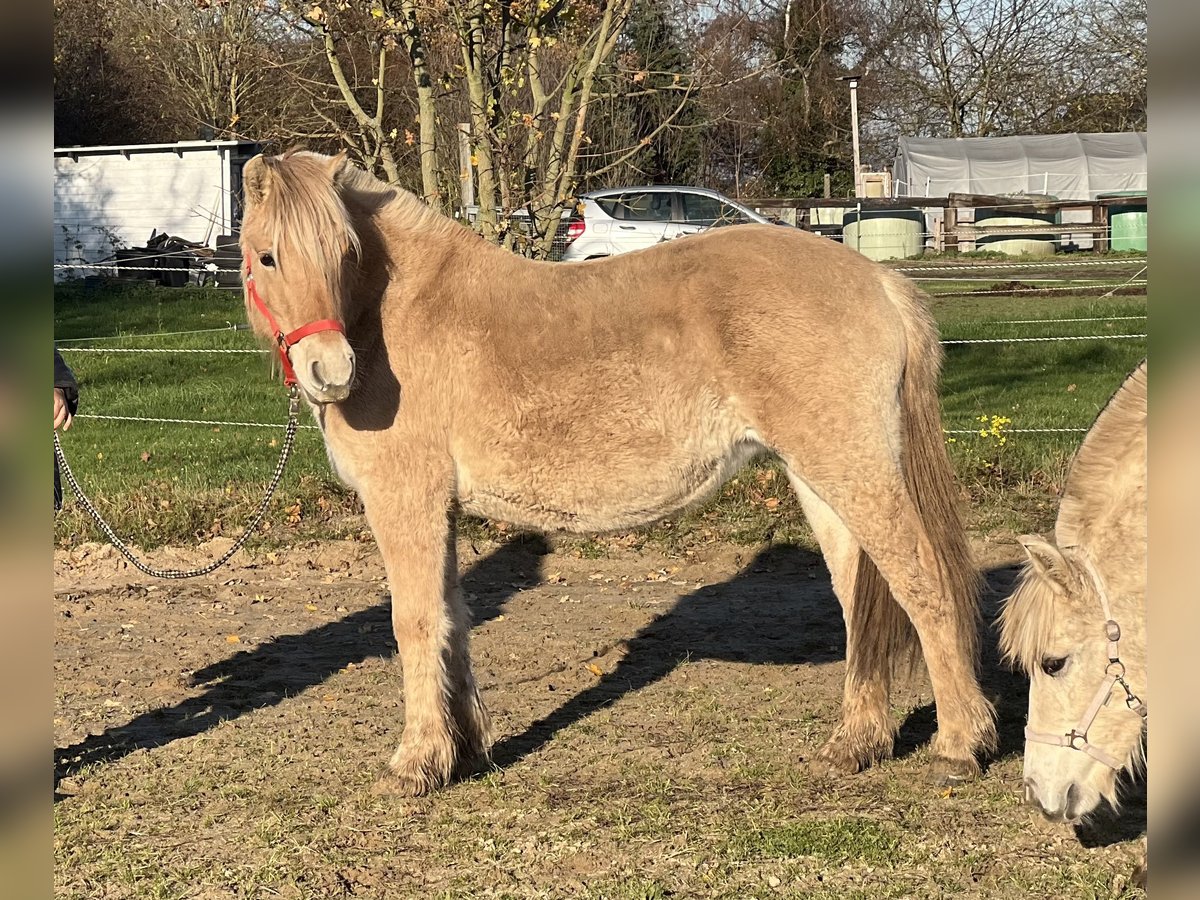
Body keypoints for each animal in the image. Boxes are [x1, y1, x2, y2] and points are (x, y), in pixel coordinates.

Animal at [238, 149, 996, 796]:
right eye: (268, 256)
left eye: (345, 254)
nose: (330, 371)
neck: (400, 315)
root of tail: (881, 282)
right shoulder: (441, 511)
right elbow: (454, 619)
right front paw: (466, 751)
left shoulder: (406, 502)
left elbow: (415, 622)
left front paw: (416, 763)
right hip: (820, 479)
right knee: (860, 596)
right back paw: (855, 745)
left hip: (856, 470)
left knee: (923, 585)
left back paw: (961, 746)